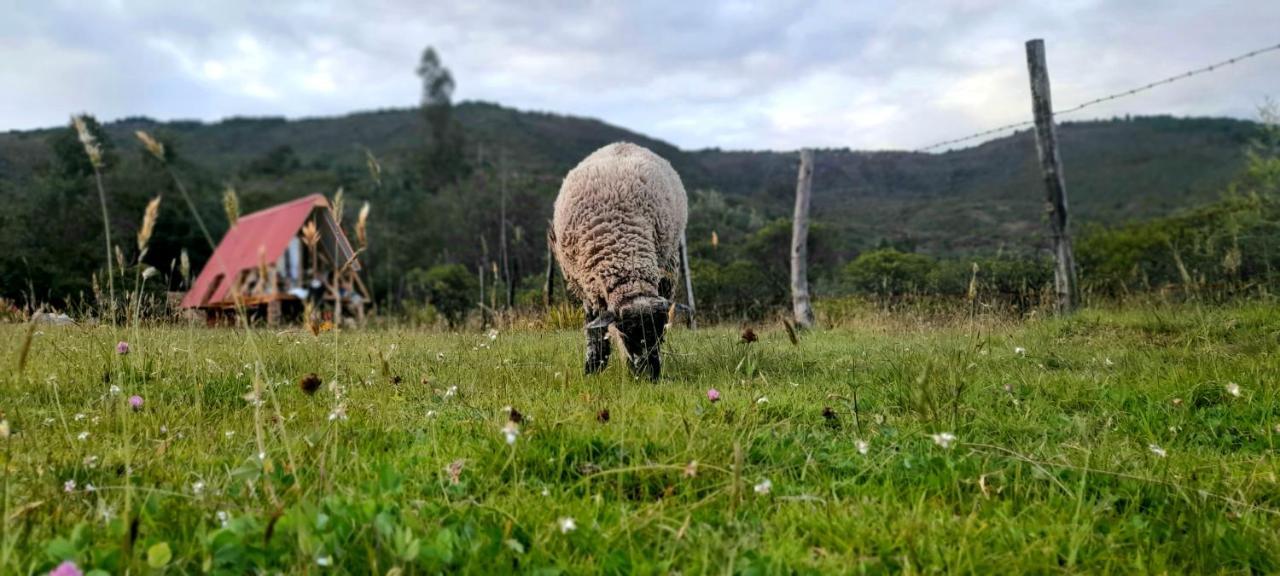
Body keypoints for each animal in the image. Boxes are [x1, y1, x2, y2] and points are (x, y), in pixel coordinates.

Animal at [550, 141, 691, 381]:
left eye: (660, 331)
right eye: (626, 331)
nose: (650, 376)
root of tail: (624, 143)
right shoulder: (589, 290)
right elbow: (595, 331)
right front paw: (593, 369)